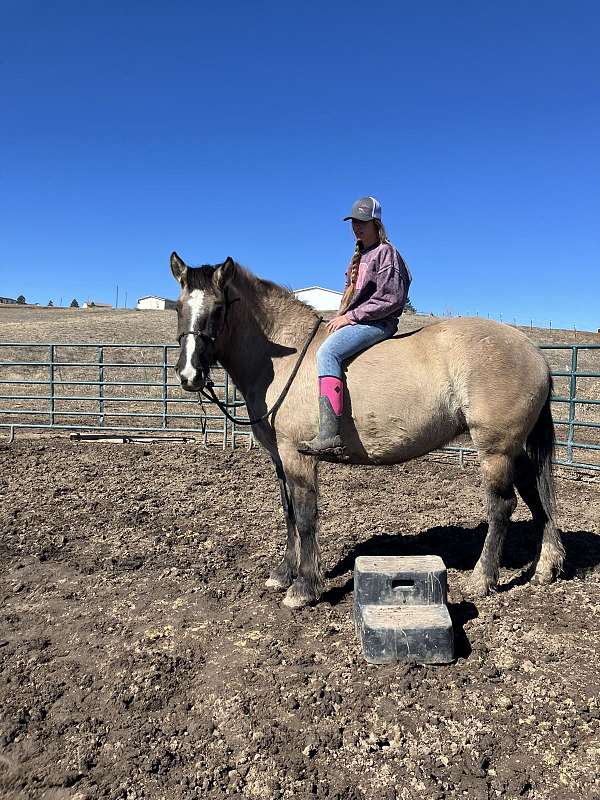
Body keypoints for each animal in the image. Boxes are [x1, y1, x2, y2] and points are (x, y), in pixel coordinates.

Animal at [168, 253, 564, 608]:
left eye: (218, 308)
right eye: (179, 307)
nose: (189, 375)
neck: (287, 355)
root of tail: (534, 352)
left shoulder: (298, 456)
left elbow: (306, 516)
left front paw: (304, 588)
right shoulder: (279, 458)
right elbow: (288, 512)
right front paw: (284, 574)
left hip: (495, 450)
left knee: (502, 506)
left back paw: (482, 579)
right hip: (514, 448)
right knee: (536, 496)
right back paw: (546, 566)